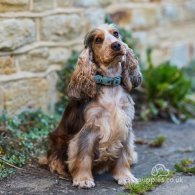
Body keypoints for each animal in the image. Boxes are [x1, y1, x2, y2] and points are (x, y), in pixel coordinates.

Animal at [44, 23, 142, 188]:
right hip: (57, 140)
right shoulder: (88, 130)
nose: (117, 45)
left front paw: (125, 176)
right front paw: (83, 179)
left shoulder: (124, 125)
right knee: (53, 158)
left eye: (116, 34)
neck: (110, 85)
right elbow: (83, 156)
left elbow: (123, 154)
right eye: (98, 40)